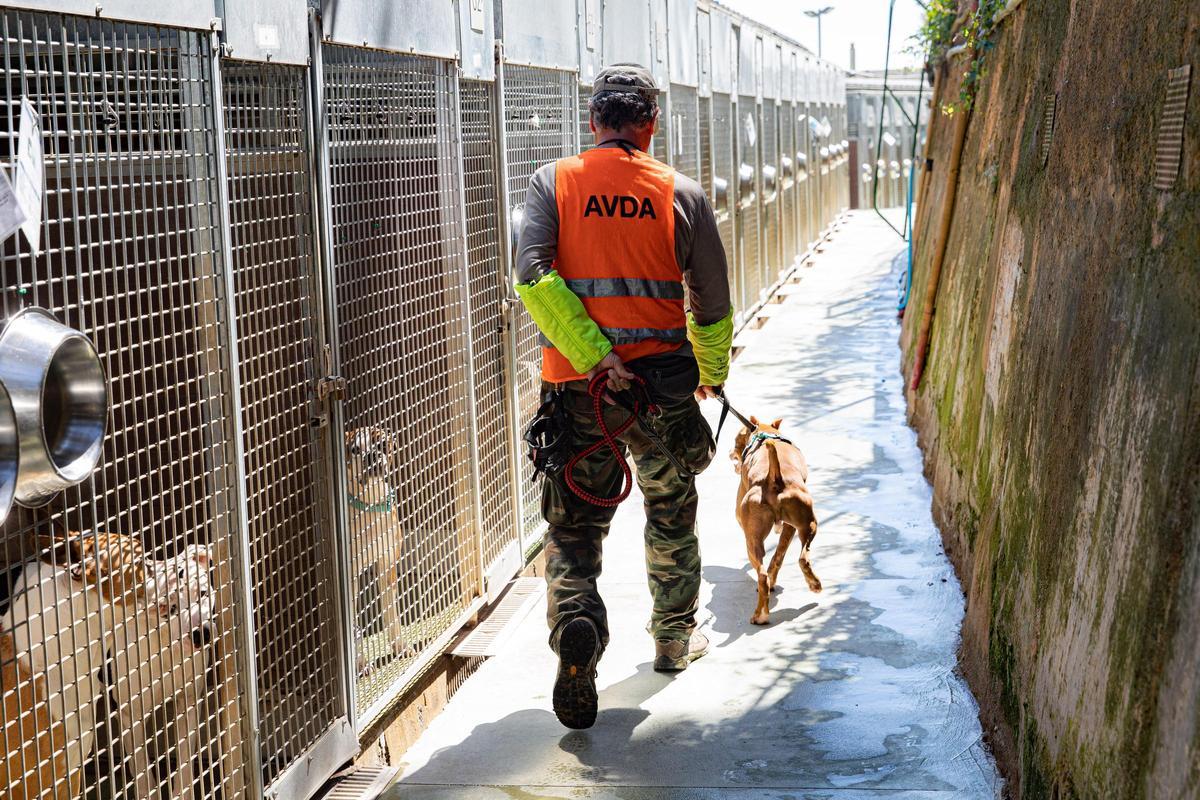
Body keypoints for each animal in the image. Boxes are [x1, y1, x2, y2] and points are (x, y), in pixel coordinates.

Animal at [724, 419, 820, 623]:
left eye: (736, 439)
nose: (729, 452)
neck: (764, 430)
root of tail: (773, 478)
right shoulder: (789, 529)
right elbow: (778, 556)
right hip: (808, 525)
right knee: (802, 559)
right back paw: (813, 584)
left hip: (751, 541)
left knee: (761, 575)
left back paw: (760, 615)